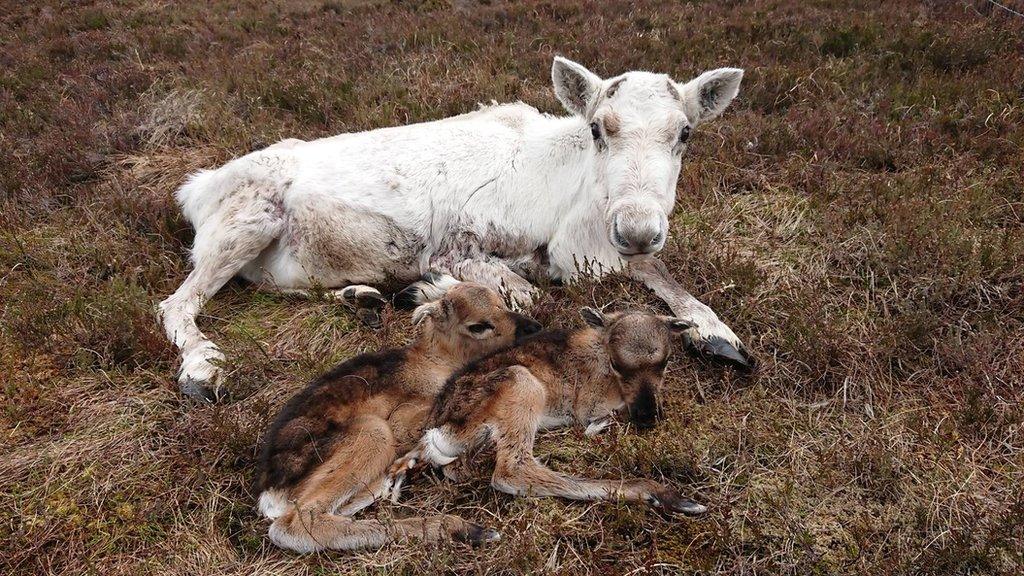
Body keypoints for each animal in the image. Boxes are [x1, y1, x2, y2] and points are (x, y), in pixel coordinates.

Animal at [252, 282, 540, 553]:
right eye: (478, 326)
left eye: (503, 302)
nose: (534, 327)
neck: (436, 359)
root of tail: (269, 490)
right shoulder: (404, 419)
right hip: (373, 431)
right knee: (295, 523)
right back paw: (464, 529)